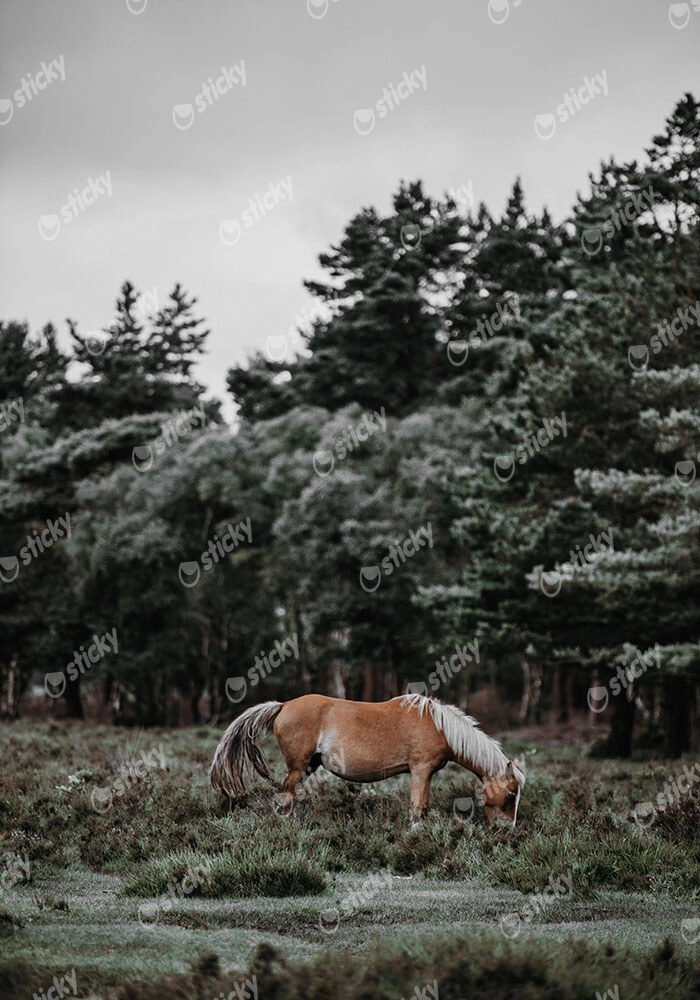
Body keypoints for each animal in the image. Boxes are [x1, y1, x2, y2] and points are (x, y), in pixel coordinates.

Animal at [210, 693, 525, 826]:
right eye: (510, 795)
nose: (506, 830)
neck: (438, 725)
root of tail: (284, 705)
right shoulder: (420, 770)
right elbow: (416, 809)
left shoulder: (427, 774)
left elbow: (421, 806)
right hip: (298, 767)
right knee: (285, 800)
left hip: (308, 767)